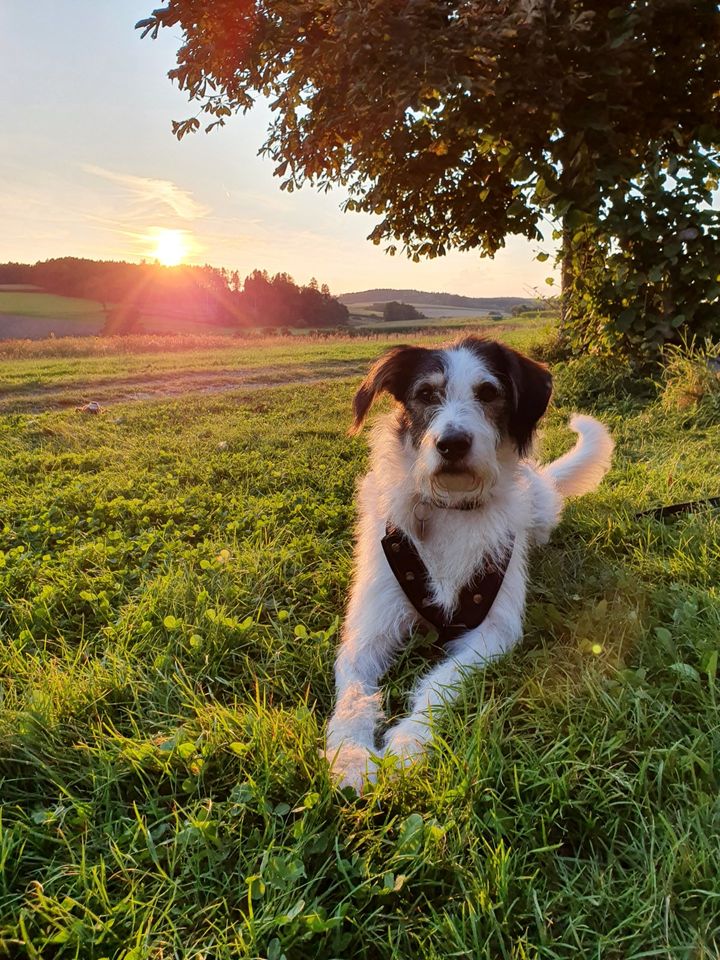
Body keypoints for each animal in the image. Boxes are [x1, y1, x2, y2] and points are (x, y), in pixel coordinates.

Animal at [326, 336, 612, 788]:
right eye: (427, 394)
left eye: (488, 393)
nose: (452, 444)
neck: (451, 506)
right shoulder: (369, 629)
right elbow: (354, 692)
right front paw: (351, 754)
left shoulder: (493, 632)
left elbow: (440, 682)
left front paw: (409, 742)